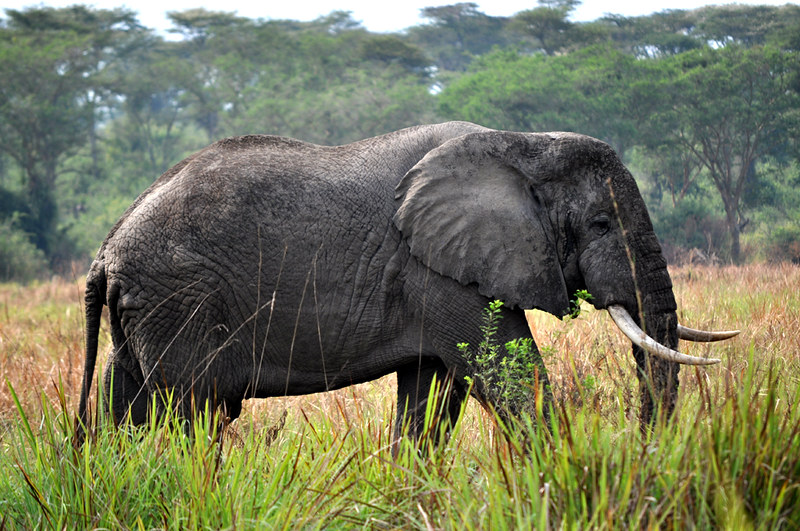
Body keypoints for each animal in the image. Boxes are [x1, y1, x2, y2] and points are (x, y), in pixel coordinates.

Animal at [75, 121, 736, 444]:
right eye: (600, 224)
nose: (645, 447)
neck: (522, 143)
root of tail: (105, 250)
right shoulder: (440, 273)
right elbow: (509, 376)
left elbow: (432, 398)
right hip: (180, 298)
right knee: (195, 410)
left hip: (146, 307)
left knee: (121, 401)